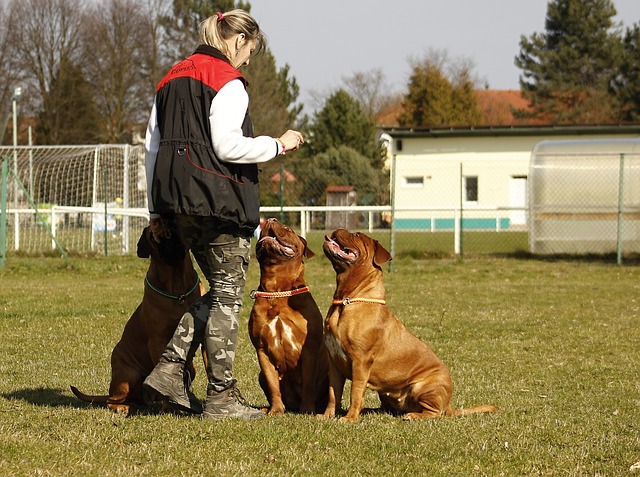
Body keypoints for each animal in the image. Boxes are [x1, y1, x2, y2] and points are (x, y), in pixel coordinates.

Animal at [71, 223, 204, 412]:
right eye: (153, 236)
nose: (169, 237)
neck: (178, 292)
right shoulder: (157, 341)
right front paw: (168, 406)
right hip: (129, 374)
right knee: (111, 400)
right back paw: (122, 406)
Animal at [249, 218, 328, 412]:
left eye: (288, 229)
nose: (271, 219)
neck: (278, 290)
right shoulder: (261, 350)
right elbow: (273, 385)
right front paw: (276, 410)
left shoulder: (309, 350)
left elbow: (308, 384)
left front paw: (307, 410)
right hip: (260, 374)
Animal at [322, 229, 498, 422]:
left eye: (358, 236)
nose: (338, 229)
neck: (346, 300)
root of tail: (449, 404)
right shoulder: (333, 362)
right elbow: (333, 394)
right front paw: (327, 415)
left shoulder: (361, 361)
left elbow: (356, 392)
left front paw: (350, 418)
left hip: (423, 386)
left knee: (434, 412)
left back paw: (413, 415)